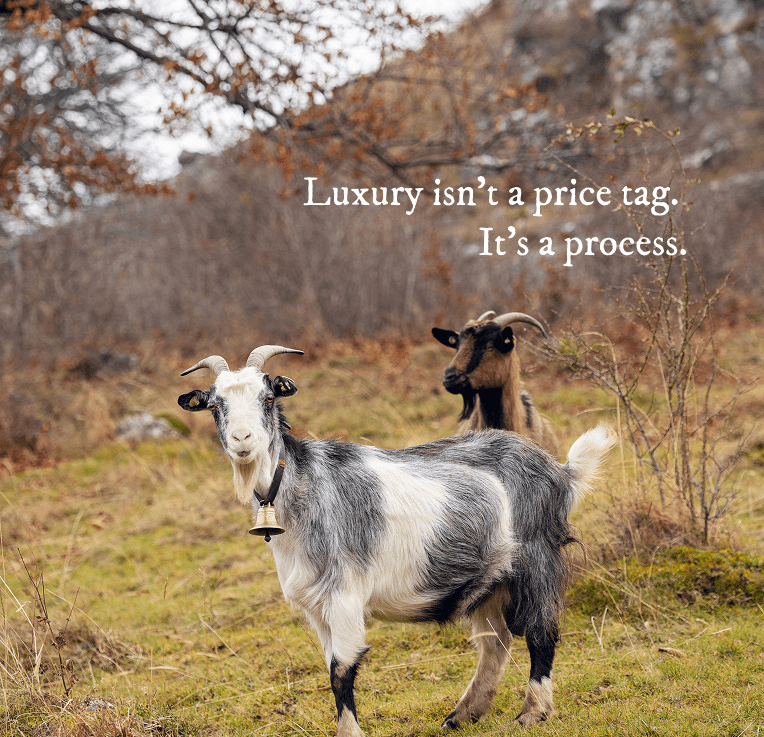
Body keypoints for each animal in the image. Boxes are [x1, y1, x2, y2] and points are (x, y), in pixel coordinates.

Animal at [178, 345, 615, 736]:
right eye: (215, 406)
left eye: (268, 397)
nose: (242, 439)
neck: (301, 489)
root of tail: (560, 471)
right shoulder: (315, 606)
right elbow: (330, 667)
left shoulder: (345, 593)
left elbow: (341, 670)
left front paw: (349, 734)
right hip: (490, 579)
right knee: (496, 644)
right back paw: (463, 715)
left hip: (537, 559)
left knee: (542, 632)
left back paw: (532, 713)